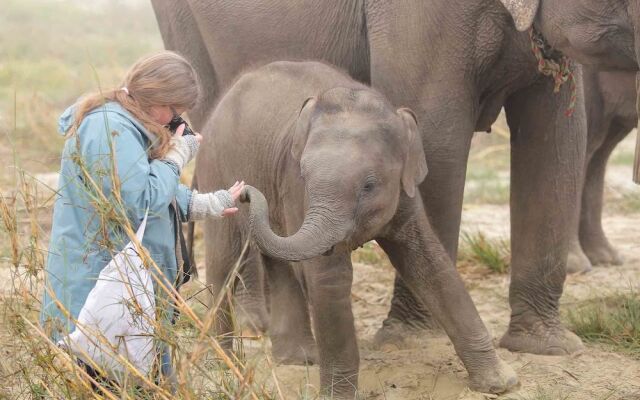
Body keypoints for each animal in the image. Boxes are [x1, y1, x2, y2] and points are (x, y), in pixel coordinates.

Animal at [198, 61, 516, 398]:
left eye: (369, 185)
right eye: (305, 176)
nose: (244, 192)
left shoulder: (405, 192)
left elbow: (430, 263)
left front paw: (501, 383)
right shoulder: (295, 187)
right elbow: (330, 277)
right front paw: (336, 395)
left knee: (279, 264)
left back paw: (299, 359)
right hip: (214, 166)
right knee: (224, 261)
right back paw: (219, 365)